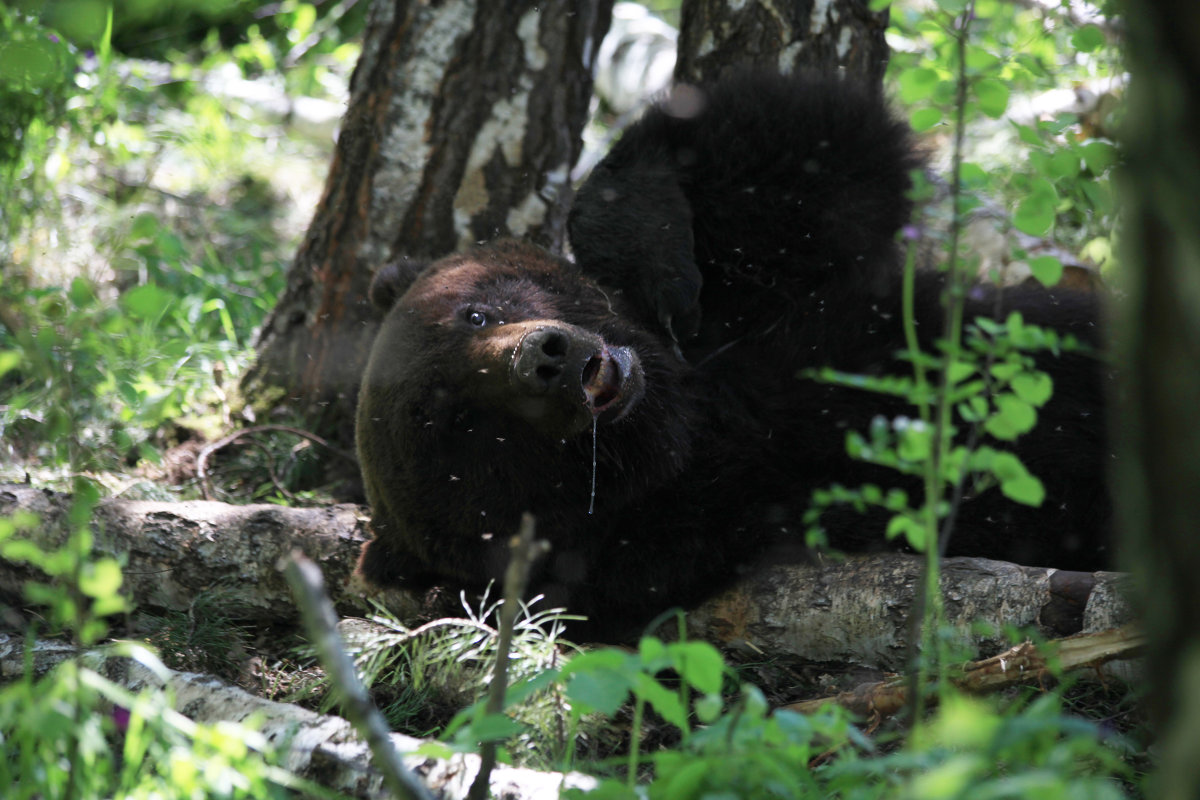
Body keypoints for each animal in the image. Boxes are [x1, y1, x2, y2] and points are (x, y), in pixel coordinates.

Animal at [352, 73, 1104, 638]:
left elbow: (811, 142)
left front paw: (658, 265)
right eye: (458, 423)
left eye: (476, 310)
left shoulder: (761, 316)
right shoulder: (723, 510)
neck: (690, 420)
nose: (548, 357)